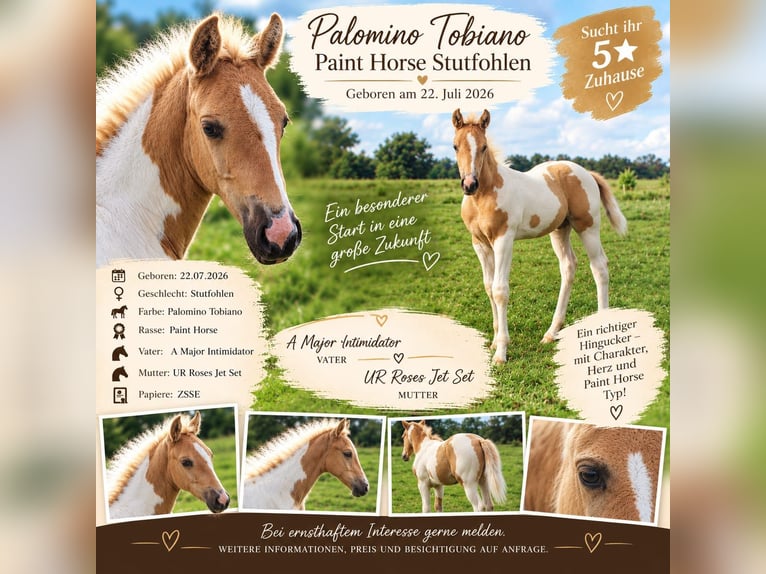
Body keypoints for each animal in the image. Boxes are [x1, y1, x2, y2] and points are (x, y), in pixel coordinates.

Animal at [451, 109, 628, 363]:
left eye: (483, 147)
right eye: (455, 146)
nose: (469, 184)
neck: (484, 195)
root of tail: (587, 172)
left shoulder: (504, 240)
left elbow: (500, 290)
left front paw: (501, 353)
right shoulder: (480, 244)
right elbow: (488, 287)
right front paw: (494, 342)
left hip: (588, 226)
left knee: (599, 267)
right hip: (560, 230)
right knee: (568, 267)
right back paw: (551, 333)